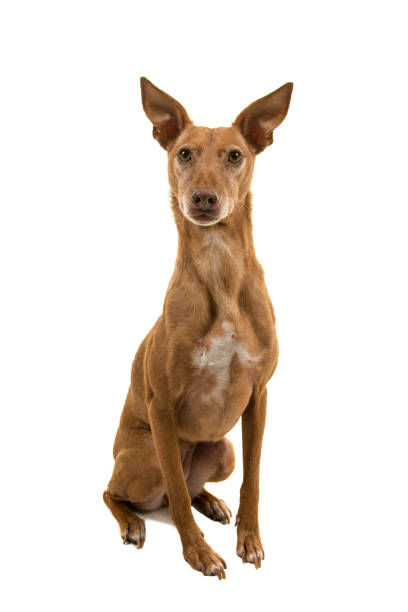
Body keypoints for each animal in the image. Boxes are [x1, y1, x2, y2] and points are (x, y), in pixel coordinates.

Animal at [103, 77, 292, 580]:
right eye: (184, 153)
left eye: (235, 155)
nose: (203, 198)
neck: (218, 268)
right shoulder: (162, 406)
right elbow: (177, 501)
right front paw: (199, 553)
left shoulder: (259, 395)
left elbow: (254, 481)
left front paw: (249, 539)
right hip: (147, 455)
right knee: (127, 492)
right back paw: (133, 522)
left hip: (221, 450)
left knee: (187, 490)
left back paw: (210, 500)